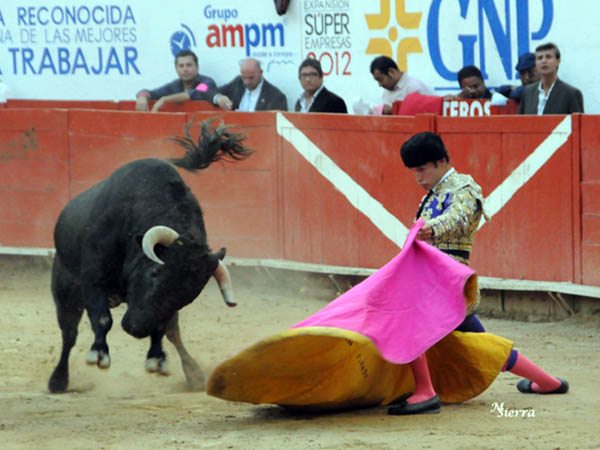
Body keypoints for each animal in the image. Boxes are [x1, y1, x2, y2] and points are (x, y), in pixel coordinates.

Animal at [48, 121, 252, 392]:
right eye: (155, 273)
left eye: (189, 296)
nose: (135, 329)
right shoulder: (93, 276)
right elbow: (101, 318)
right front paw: (99, 354)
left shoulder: (166, 309)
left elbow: (163, 328)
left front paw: (157, 359)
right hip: (65, 289)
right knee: (69, 333)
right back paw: (58, 380)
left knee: (173, 333)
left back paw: (193, 373)